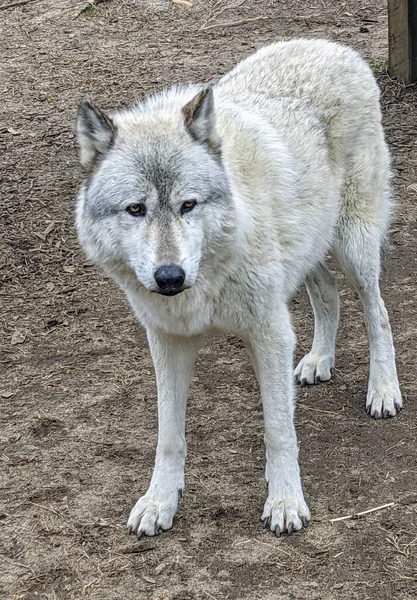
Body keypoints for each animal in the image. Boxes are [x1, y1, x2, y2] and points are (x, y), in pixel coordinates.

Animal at [75, 38, 404, 540]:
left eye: (188, 205)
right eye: (135, 209)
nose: (169, 277)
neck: (206, 279)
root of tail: (334, 45)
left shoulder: (270, 334)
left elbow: (278, 430)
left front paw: (285, 502)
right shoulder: (167, 341)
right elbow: (168, 436)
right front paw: (159, 502)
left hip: (354, 247)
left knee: (377, 312)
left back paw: (384, 389)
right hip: (306, 252)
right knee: (328, 293)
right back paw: (318, 360)